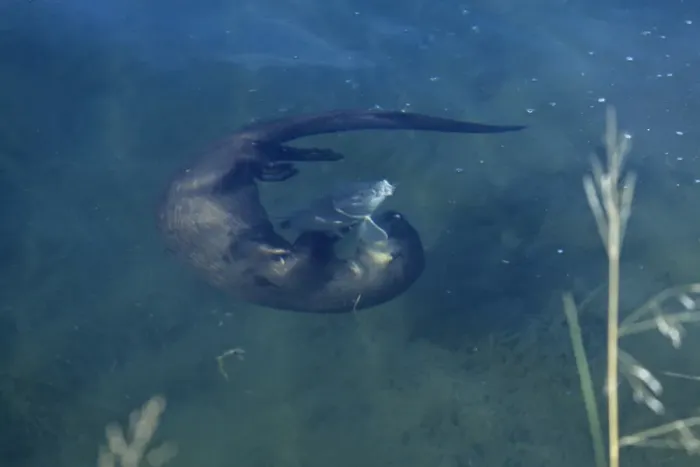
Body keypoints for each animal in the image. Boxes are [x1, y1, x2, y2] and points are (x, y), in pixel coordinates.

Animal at [158, 110, 524, 313]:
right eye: (399, 222)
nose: (395, 214)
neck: (325, 290)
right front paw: (339, 226)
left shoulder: (299, 275)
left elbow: (303, 249)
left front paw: (332, 228)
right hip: (225, 166)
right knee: (265, 154)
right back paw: (312, 159)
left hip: (228, 163)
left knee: (265, 154)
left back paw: (309, 159)